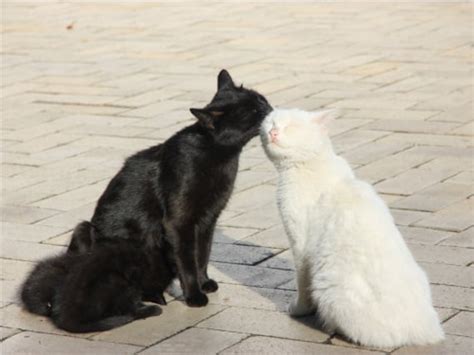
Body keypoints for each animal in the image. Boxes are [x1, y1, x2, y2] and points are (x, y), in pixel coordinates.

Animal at [68, 70, 272, 308]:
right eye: (253, 112)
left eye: (261, 99)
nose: (269, 108)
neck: (218, 154)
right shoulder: (179, 222)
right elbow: (187, 261)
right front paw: (194, 296)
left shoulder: (208, 220)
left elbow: (202, 255)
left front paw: (204, 283)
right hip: (84, 230)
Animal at [260, 109, 444, 350]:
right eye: (270, 123)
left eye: (291, 127)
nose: (273, 132)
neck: (310, 165)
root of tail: (427, 331)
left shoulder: (300, 245)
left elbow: (302, 282)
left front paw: (299, 310)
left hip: (330, 288)